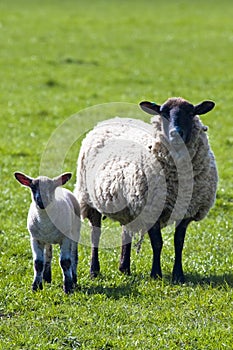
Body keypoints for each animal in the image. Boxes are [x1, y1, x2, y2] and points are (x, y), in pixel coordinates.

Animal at [75, 97, 218, 284]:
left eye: (190, 112)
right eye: (163, 113)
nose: (175, 133)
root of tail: (110, 120)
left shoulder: (187, 211)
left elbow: (179, 243)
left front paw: (178, 275)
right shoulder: (151, 209)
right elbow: (157, 243)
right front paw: (156, 274)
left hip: (127, 206)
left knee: (125, 233)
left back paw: (124, 268)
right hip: (89, 199)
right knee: (95, 235)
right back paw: (94, 270)